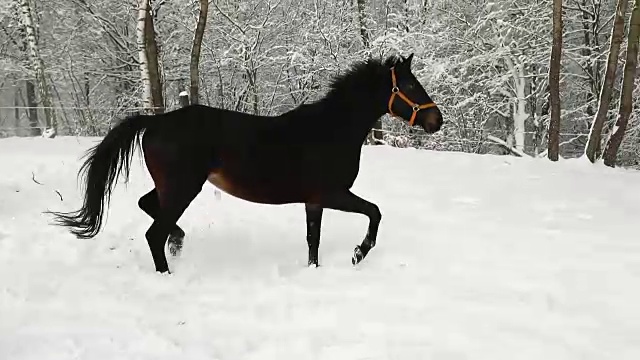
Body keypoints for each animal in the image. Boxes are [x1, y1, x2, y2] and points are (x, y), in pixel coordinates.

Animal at [47, 53, 442, 272]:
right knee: (153, 233)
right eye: (408, 84)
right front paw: (359, 253)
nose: (436, 120)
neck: (331, 129)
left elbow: (312, 240)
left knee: (151, 209)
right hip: (183, 188)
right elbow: (374, 212)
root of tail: (154, 121)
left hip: (171, 187)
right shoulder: (332, 194)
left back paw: (179, 242)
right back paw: (167, 271)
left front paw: (316, 269)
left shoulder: (314, 201)